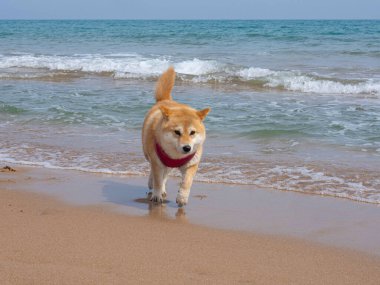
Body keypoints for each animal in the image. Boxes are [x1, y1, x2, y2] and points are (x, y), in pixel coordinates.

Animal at [142, 66, 209, 206]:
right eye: (177, 132)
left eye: (192, 132)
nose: (187, 148)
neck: (176, 156)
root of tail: (165, 100)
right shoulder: (157, 162)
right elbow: (157, 180)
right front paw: (157, 195)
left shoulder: (192, 164)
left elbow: (186, 183)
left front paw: (182, 197)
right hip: (149, 154)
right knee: (155, 173)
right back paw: (154, 185)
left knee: (165, 175)